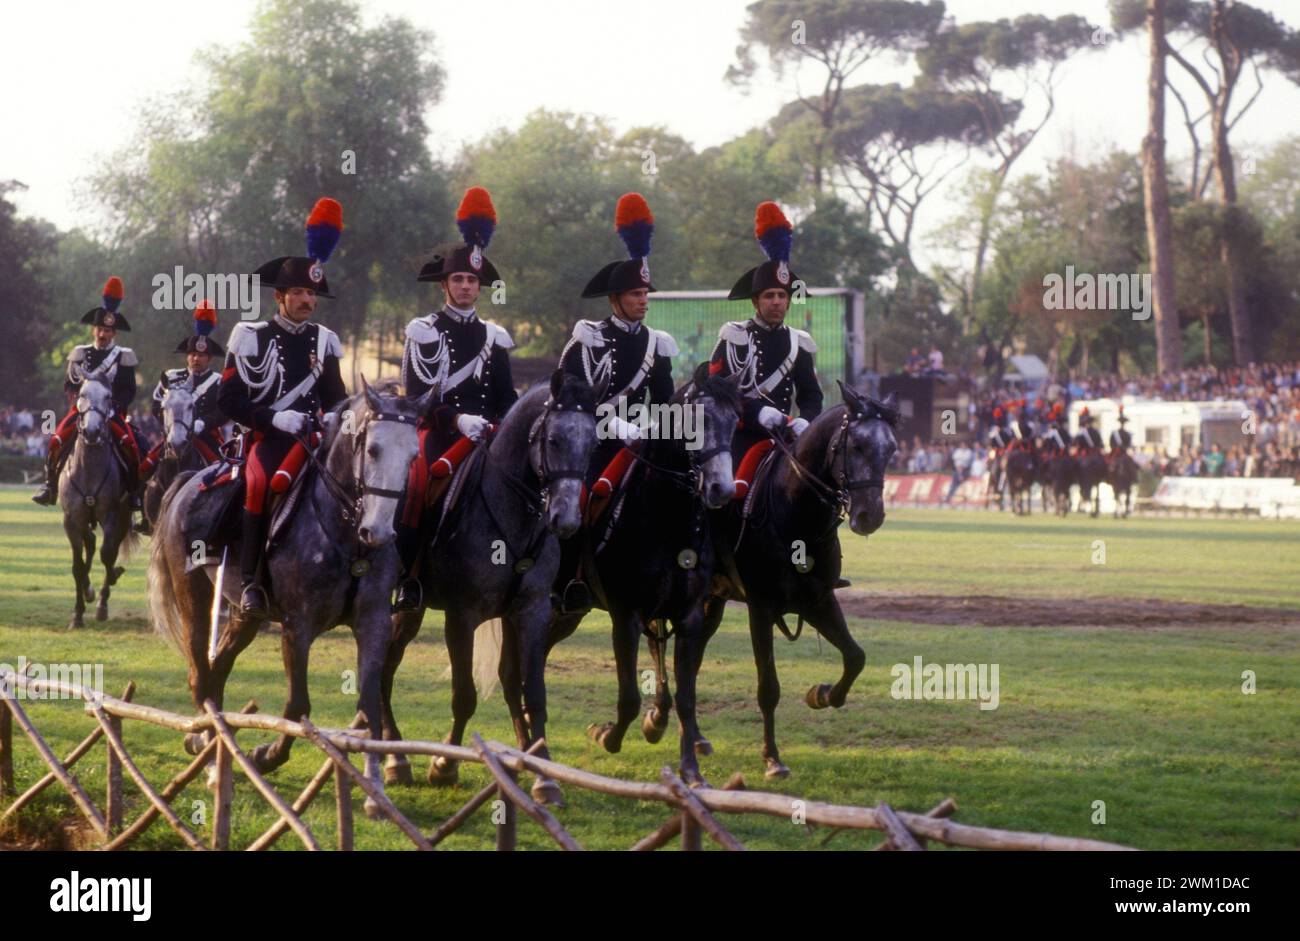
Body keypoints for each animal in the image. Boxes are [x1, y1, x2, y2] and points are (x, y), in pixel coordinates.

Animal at [57, 371, 137, 629]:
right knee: (89, 544)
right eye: (82, 394)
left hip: (122, 518)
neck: (89, 466)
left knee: (105, 550)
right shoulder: (71, 520)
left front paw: (103, 596)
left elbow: (107, 554)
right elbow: (77, 566)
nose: (92, 432)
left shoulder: (111, 516)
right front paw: (78, 614)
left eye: (108, 396)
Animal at [147, 379, 431, 811]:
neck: (345, 532)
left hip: (246, 615)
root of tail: (189, 481)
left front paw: (375, 787)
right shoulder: (298, 627)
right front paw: (266, 755)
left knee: (218, 671)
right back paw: (211, 762)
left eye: (414, 455)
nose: (379, 532)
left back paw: (212, 744)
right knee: (201, 674)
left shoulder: (374, 623)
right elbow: (298, 706)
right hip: (195, 600)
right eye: (373, 450)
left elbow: (368, 706)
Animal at [707, 382, 899, 779]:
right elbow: (768, 686)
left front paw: (822, 695)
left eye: (891, 449)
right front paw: (772, 757)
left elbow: (855, 656)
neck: (795, 511)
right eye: (857, 445)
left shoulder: (818, 600)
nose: (870, 516)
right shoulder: (761, 608)